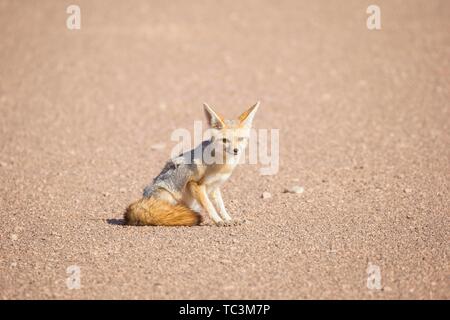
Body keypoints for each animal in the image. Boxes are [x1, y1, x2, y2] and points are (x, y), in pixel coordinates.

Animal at [124, 102, 260, 225]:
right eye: (225, 140)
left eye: (240, 139)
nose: (236, 150)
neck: (221, 166)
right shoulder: (195, 184)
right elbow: (209, 206)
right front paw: (218, 221)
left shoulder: (215, 187)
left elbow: (221, 206)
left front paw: (228, 218)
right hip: (168, 197)